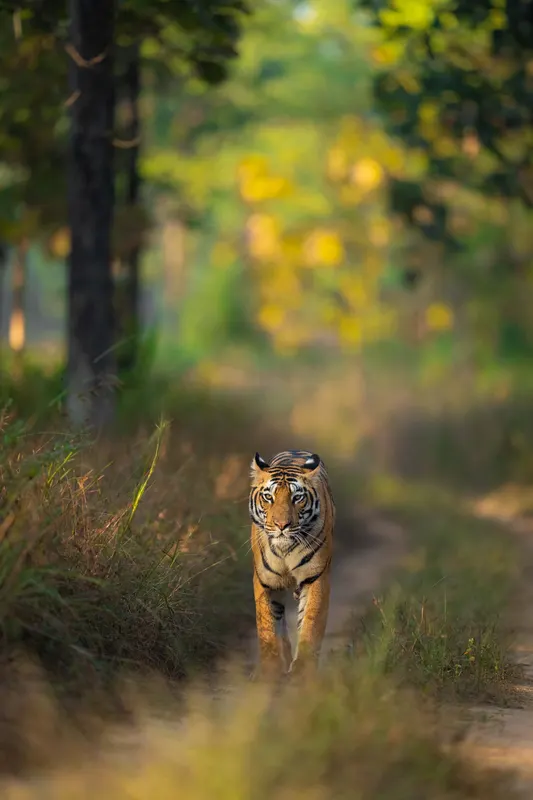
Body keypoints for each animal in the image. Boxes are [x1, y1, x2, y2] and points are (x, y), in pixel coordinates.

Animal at [249, 449, 335, 678]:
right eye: (268, 497)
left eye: (297, 498)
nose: (282, 525)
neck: (285, 551)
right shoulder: (265, 581)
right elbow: (267, 627)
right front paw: (269, 670)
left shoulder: (316, 578)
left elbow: (310, 624)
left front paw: (303, 670)